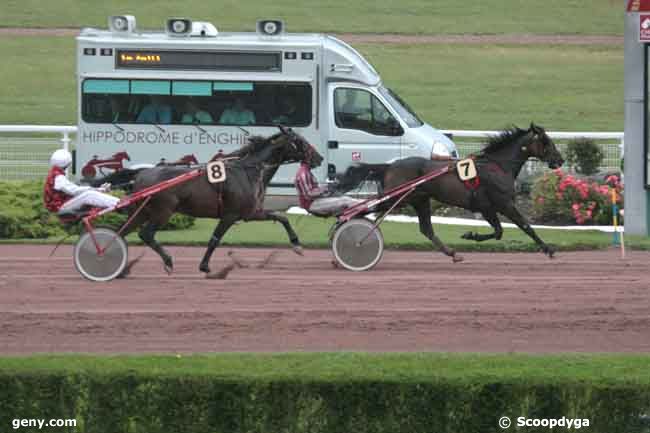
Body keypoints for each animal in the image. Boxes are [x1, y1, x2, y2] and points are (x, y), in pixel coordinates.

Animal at [121, 126, 322, 274]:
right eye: (300, 141)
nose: (319, 158)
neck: (248, 171)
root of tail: (141, 174)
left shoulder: (251, 213)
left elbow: (282, 217)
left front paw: (297, 245)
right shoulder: (230, 215)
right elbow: (214, 240)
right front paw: (204, 266)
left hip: (141, 212)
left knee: (123, 232)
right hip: (162, 212)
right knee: (146, 234)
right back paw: (168, 261)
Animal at [340, 123, 560, 262]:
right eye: (546, 141)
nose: (560, 160)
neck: (497, 166)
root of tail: (390, 166)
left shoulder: (488, 207)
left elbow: (500, 232)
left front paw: (470, 235)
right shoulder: (500, 204)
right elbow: (524, 227)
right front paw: (548, 249)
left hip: (419, 200)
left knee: (426, 229)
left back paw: (453, 253)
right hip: (396, 198)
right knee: (364, 210)